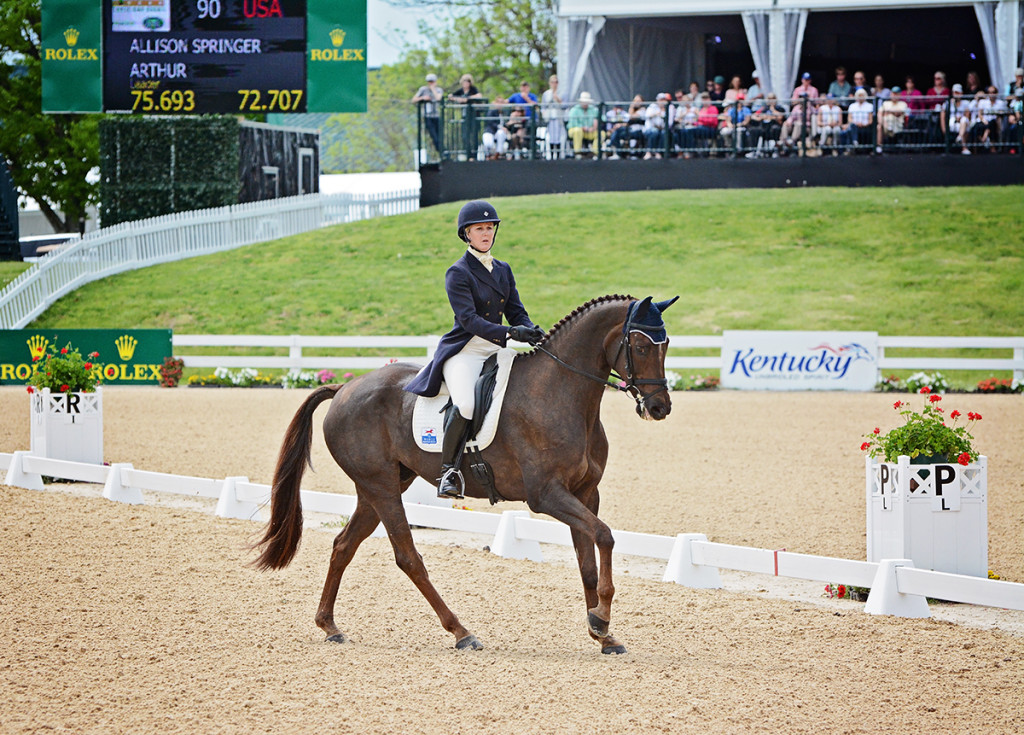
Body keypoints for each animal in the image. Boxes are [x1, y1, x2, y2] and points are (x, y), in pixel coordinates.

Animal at [253, 294, 678, 654]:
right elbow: (605, 536)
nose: (659, 408)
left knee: (344, 545)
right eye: (641, 346)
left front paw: (602, 633)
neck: (561, 394)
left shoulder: (586, 493)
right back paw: (462, 632)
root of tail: (344, 388)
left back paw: (330, 626)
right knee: (407, 557)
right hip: (381, 486)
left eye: (667, 344)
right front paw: (601, 620)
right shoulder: (547, 495)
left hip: (379, 486)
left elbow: (588, 562)